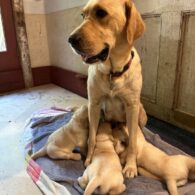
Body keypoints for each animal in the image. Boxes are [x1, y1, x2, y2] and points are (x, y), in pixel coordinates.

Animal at [68, 0, 145, 178]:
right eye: (83, 15)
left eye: (101, 13)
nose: (70, 40)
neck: (113, 73)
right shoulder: (94, 105)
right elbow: (92, 137)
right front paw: (89, 158)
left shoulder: (132, 107)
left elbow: (133, 142)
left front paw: (131, 166)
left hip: (140, 112)